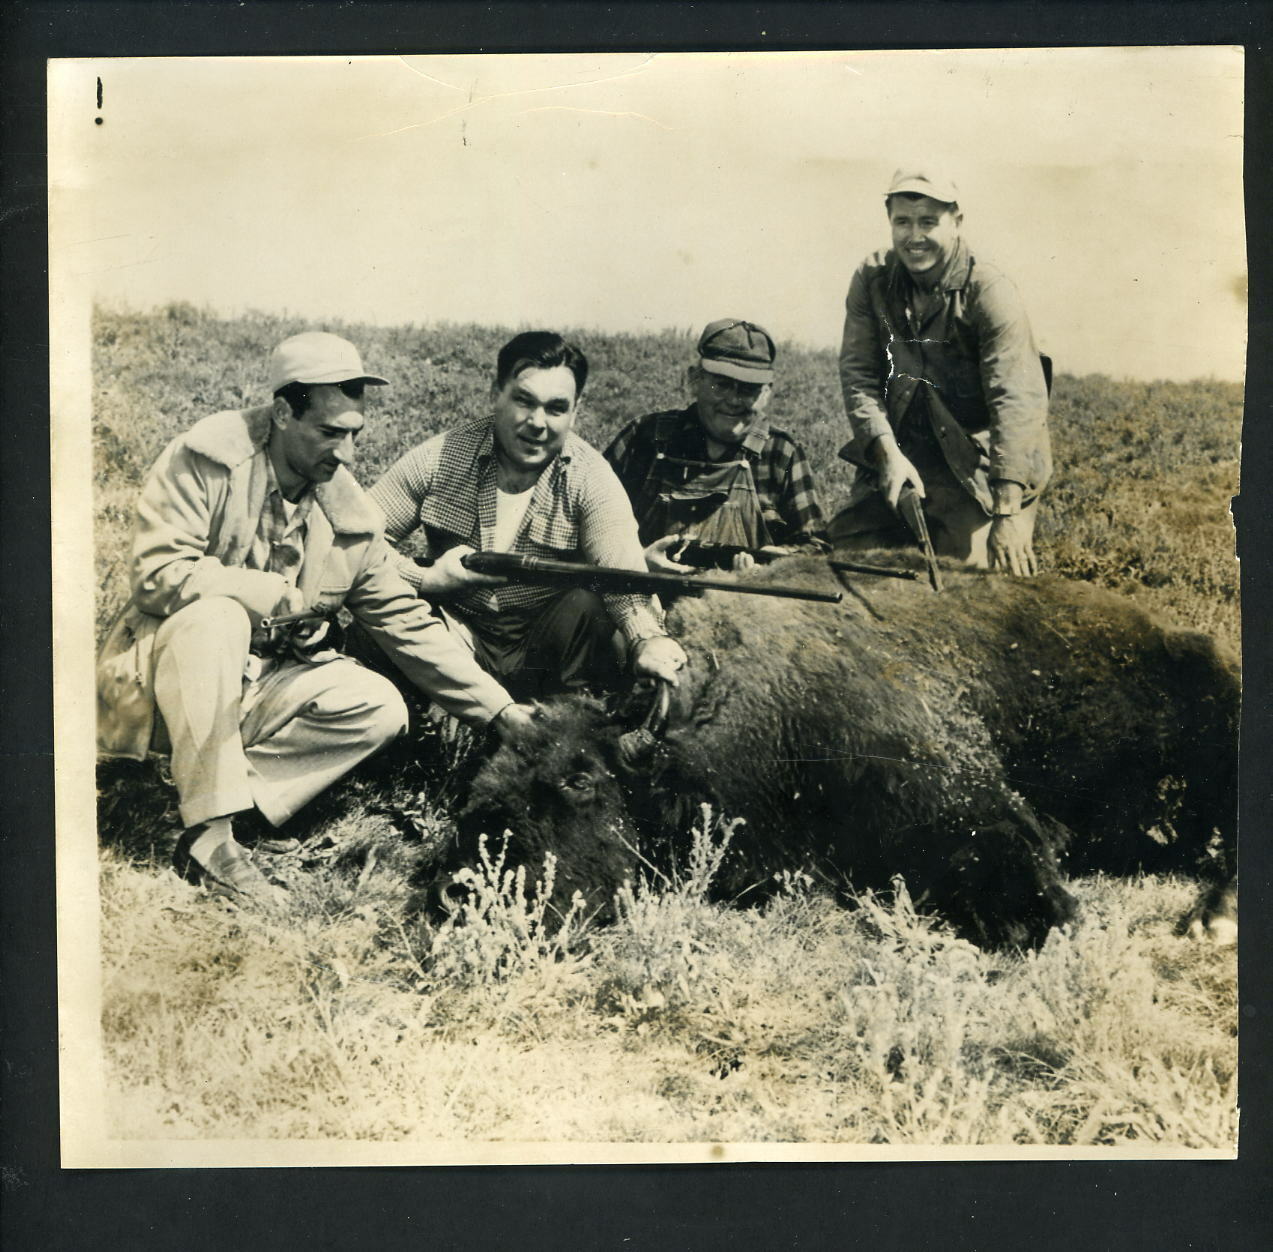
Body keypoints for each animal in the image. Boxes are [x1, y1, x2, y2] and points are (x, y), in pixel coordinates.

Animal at [448, 557, 1232, 946]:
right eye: (485, 781)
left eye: (580, 778)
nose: (459, 892)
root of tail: (1174, 633)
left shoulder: (955, 788)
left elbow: (1018, 875)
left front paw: (1050, 922)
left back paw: (1211, 921)